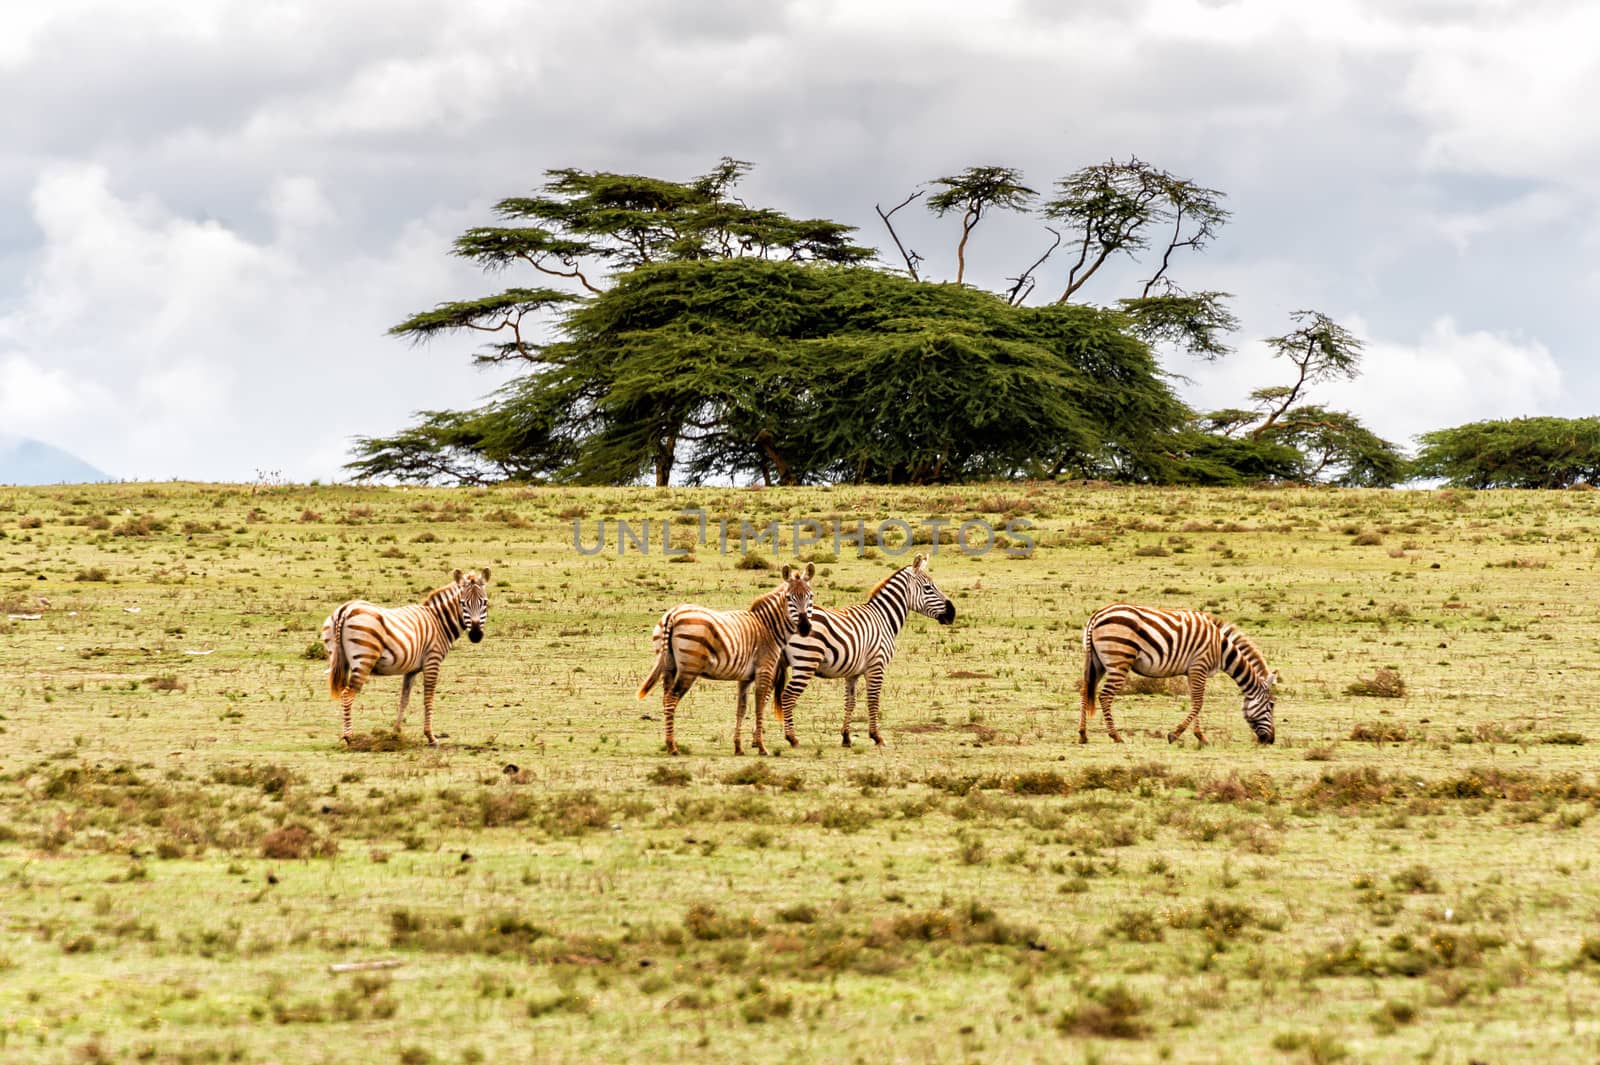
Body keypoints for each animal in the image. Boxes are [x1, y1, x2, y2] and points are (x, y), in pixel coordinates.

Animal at [323, 569, 486, 741]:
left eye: (484, 603)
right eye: (463, 603)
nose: (476, 635)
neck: (438, 621)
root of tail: (344, 610)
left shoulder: (411, 670)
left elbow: (404, 699)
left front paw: (396, 732)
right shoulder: (432, 661)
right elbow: (428, 698)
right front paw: (430, 736)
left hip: (339, 659)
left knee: (343, 692)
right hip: (364, 659)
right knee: (347, 694)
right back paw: (349, 737)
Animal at [633, 562, 812, 754]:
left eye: (810, 596)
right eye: (789, 598)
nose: (805, 627)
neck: (768, 627)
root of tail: (672, 615)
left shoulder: (745, 678)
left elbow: (741, 708)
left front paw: (738, 747)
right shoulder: (764, 670)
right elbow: (759, 707)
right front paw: (762, 747)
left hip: (669, 665)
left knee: (665, 698)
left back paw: (669, 745)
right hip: (689, 667)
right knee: (671, 699)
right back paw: (672, 747)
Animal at [771, 556, 947, 745]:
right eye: (928, 587)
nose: (952, 613)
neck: (883, 618)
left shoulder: (852, 672)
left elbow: (850, 702)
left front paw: (846, 737)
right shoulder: (877, 665)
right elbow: (873, 700)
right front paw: (876, 736)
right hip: (806, 661)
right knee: (788, 696)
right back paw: (792, 738)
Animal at [1081, 601, 1280, 741]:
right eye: (1271, 705)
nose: (1270, 740)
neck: (1221, 648)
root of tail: (1096, 616)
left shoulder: (1193, 671)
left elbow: (1195, 702)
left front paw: (1200, 736)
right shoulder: (1200, 665)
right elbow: (1199, 702)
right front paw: (1175, 734)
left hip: (1096, 663)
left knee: (1085, 691)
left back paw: (1082, 734)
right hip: (1119, 660)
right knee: (1105, 696)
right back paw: (1116, 736)